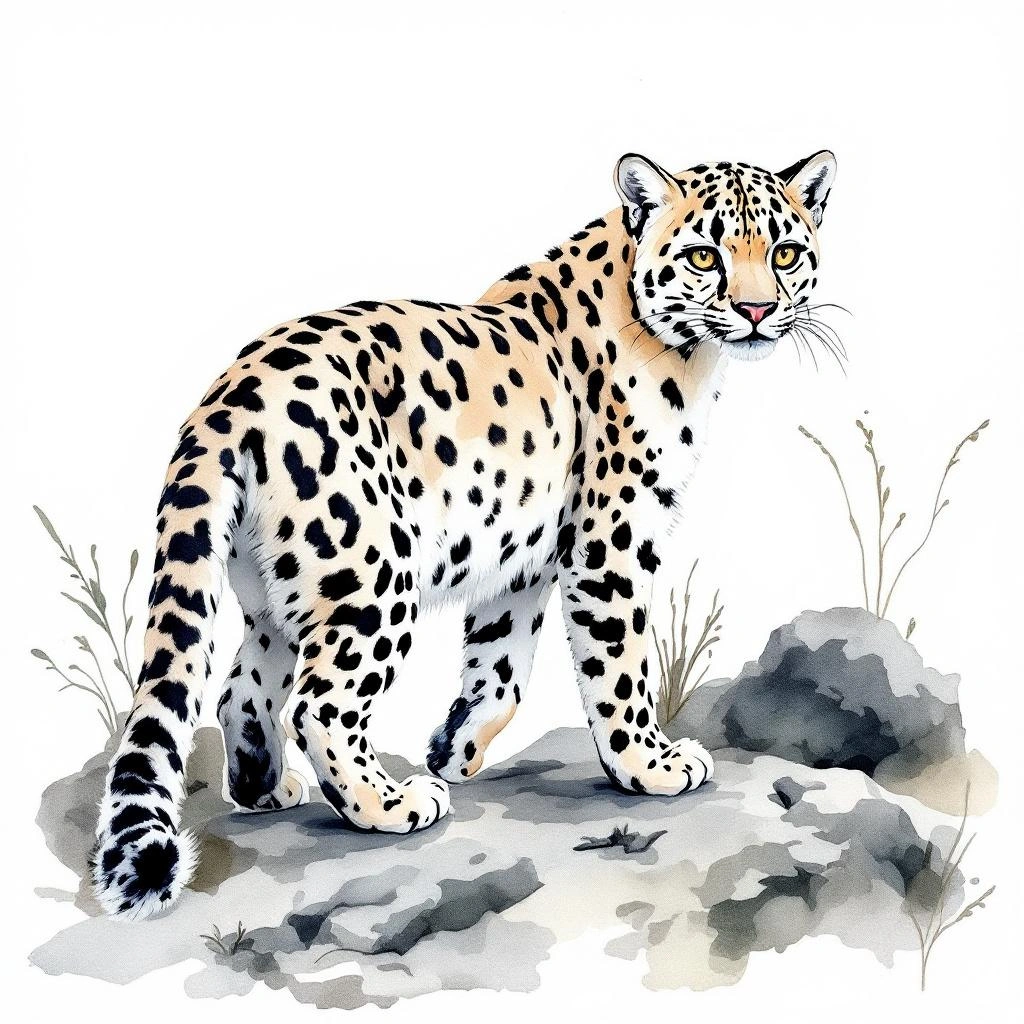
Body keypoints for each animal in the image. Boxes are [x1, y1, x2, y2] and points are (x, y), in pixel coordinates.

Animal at [92, 149, 837, 919]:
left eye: (784, 253)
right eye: (702, 256)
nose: (757, 310)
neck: (692, 362)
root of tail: (226, 400)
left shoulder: (521, 560)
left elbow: (502, 667)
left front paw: (454, 747)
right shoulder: (611, 541)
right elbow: (618, 665)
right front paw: (649, 764)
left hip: (278, 589)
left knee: (241, 685)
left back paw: (266, 787)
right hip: (372, 576)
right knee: (319, 704)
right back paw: (392, 804)